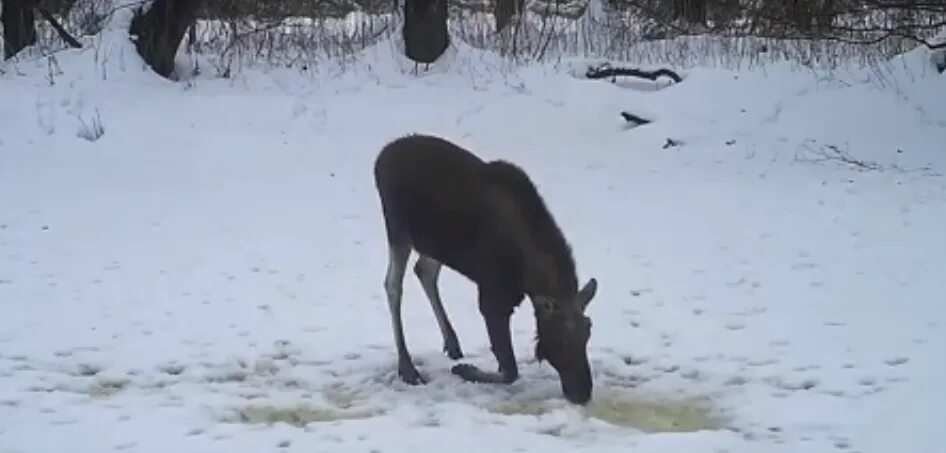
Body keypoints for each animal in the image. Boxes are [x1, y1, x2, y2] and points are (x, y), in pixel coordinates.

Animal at [370, 132, 596, 404]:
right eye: (560, 337)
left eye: (588, 332)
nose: (583, 392)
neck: (529, 275)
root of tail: (380, 158)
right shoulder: (493, 296)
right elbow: (510, 371)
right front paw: (466, 371)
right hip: (398, 229)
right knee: (393, 285)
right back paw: (407, 367)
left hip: (434, 242)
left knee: (424, 271)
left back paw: (452, 343)